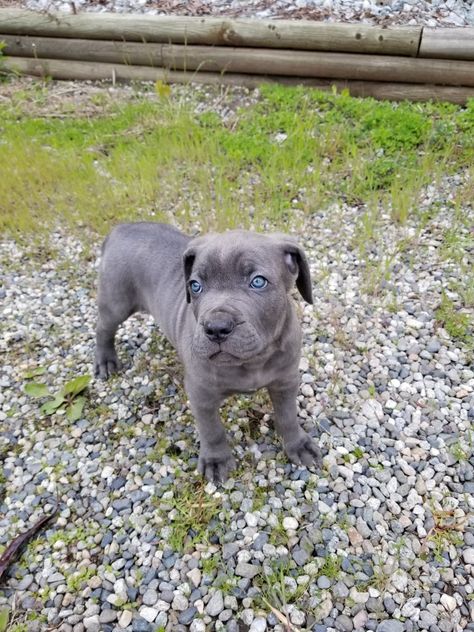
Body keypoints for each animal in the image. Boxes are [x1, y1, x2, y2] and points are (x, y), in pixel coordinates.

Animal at [94, 222, 320, 478]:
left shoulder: (286, 380)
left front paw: (298, 445)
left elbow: (288, 415)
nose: (216, 328)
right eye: (195, 286)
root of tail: (121, 227)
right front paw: (216, 460)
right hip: (116, 301)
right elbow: (212, 430)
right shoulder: (201, 394)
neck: (251, 361)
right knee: (103, 327)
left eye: (258, 282)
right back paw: (105, 361)